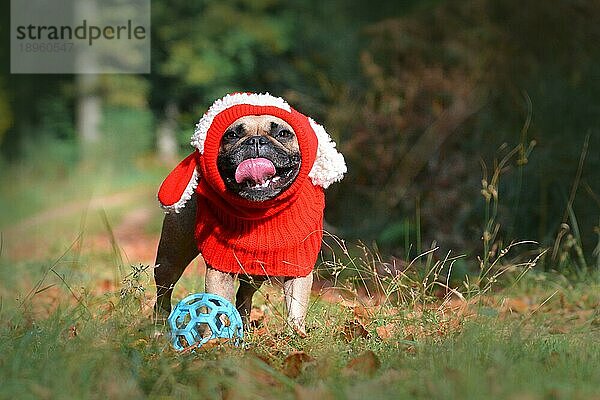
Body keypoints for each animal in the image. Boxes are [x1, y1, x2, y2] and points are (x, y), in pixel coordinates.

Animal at [152, 92, 344, 336]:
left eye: (283, 134)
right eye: (232, 135)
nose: (255, 141)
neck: (259, 209)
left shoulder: (298, 265)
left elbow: (296, 305)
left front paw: (295, 334)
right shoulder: (219, 267)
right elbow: (216, 303)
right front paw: (214, 339)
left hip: (256, 273)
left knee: (244, 294)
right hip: (170, 258)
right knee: (164, 290)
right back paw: (159, 326)